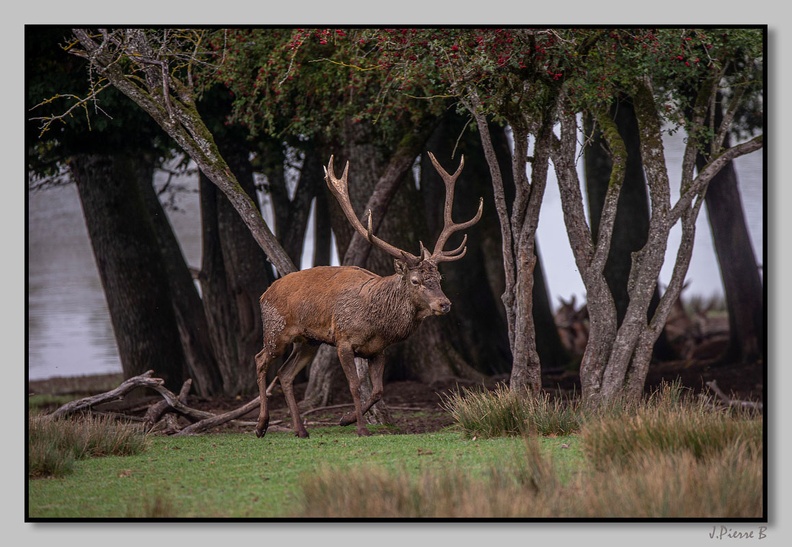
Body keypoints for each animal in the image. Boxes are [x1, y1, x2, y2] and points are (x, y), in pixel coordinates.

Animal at [254, 154, 482, 440]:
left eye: (439, 279)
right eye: (416, 281)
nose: (445, 304)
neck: (377, 322)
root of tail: (264, 293)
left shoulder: (378, 350)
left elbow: (378, 391)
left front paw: (345, 419)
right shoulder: (343, 340)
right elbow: (354, 385)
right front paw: (361, 428)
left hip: (308, 341)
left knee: (285, 375)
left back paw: (300, 430)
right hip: (277, 330)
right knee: (260, 360)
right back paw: (261, 425)